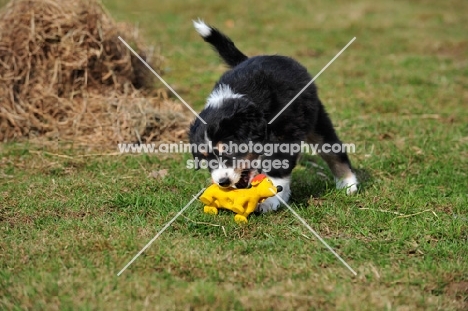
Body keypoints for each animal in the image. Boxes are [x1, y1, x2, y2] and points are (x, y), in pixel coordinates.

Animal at [188, 20, 356, 213]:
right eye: (205, 158)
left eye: (229, 150)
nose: (223, 182)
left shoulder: (285, 135)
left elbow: (277, 169)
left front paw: (269, 200)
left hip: (316, 119)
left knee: (332, 150)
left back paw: (348, 183)